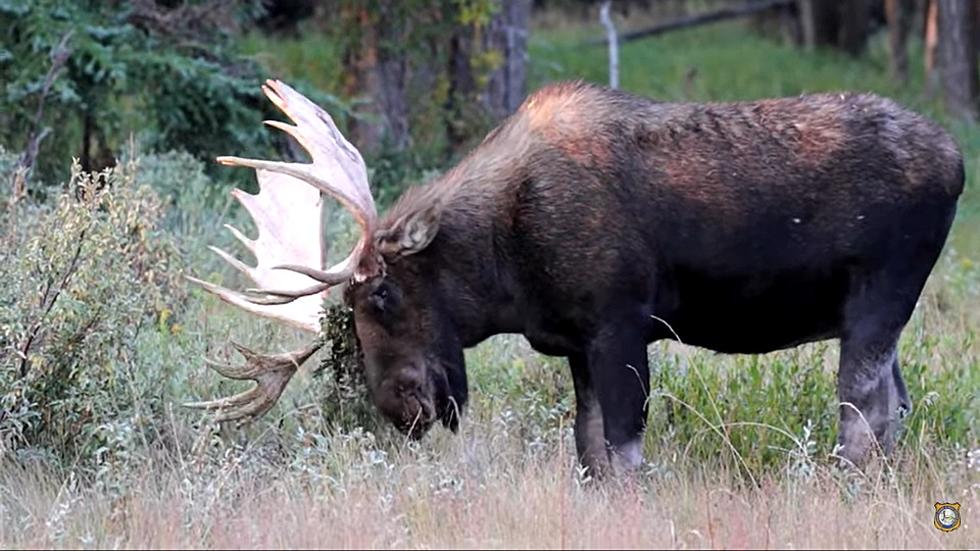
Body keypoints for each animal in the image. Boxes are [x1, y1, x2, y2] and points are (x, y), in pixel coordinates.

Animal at [188, 80, 960, 476]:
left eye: (381, 291)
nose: (399, 408)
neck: (505, 269)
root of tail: (956, 161)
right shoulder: (576, 344)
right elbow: (588, 452)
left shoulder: (621, 323)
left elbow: (623, 453)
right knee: (896, 408)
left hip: (881, 296)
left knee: (866, 415)